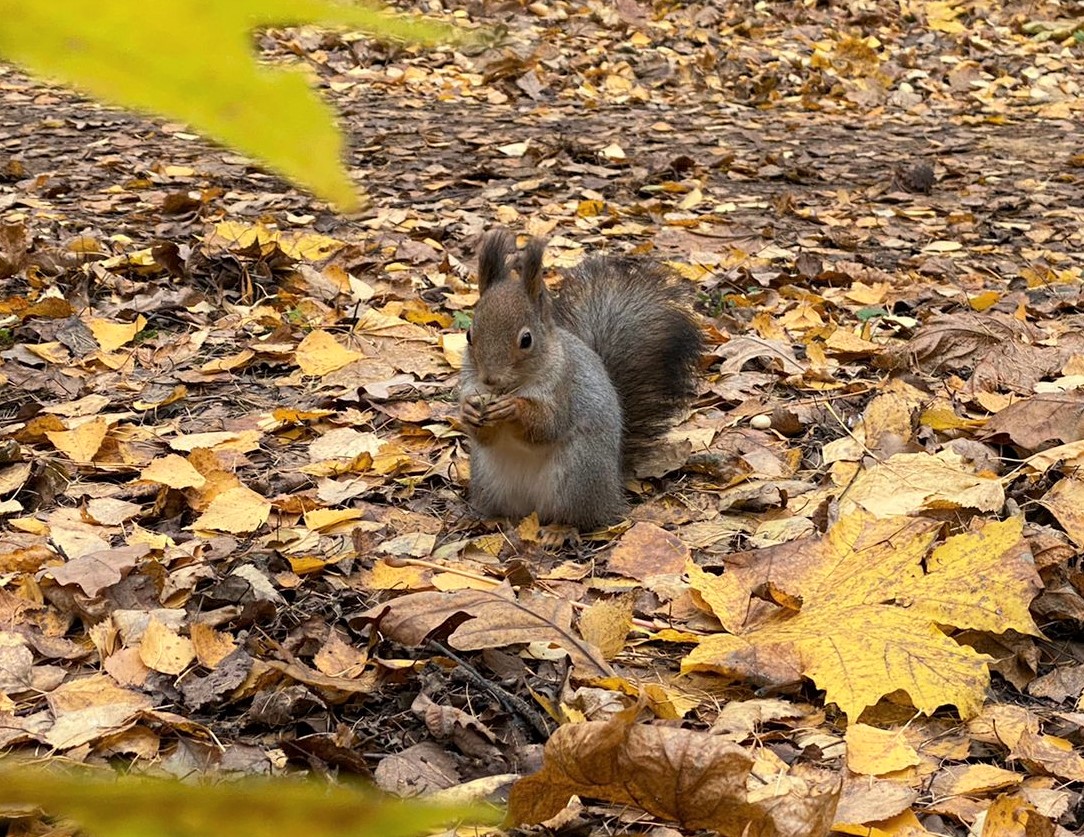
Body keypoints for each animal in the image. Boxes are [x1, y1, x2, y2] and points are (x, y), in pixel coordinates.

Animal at [459, 230, 702, 529]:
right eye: (469, 335)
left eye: (526, 340)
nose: (490, 380)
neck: (515, 386)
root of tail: (613, 486)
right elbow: (483, 436)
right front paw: (469, 411)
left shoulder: (564, 388)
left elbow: (548, 426)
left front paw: (513, 408)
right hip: (488, 480)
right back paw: (498, 521)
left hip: (578, 475)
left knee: (576, 518)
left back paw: (558, 530)